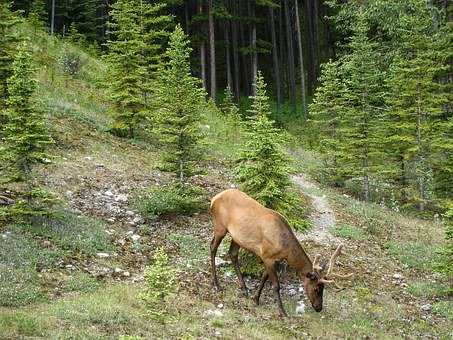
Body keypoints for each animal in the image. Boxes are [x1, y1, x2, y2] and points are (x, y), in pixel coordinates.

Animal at [208, 189, 350, 316]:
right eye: (316, 288)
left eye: (323, 288)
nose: (319, 307)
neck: (285, 251)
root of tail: (214, 199)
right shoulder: (267, 256)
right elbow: (276, 285)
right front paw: (282, 312)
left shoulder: (273, 259)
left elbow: (264, 278)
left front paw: (255, 299)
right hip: (220, 226)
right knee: (212, 248)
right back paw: (216, 284)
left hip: (237, 237)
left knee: (232, 254)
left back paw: (244, 288)